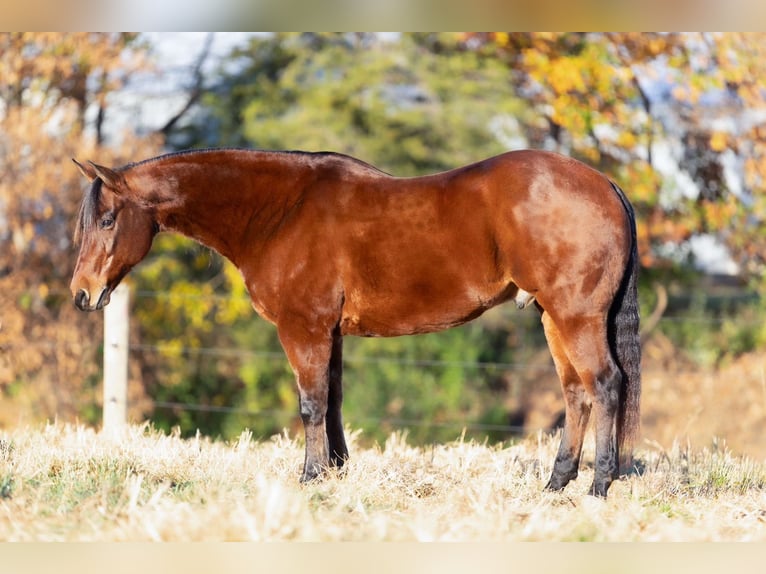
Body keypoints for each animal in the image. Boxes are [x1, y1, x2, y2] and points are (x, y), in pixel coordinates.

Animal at [70, 148, 640, 500]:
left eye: (107, 220)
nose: (82, 295)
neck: (281, 211)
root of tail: (605, 184)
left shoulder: (303, 329)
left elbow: (311, 404)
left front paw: (310, 476)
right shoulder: (331, 333)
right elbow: (334, 402)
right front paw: (337, 473)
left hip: (574, 315)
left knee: (606, 384)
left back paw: (599, 487)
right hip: (553, 317)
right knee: (576, 393)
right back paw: (556, 485)